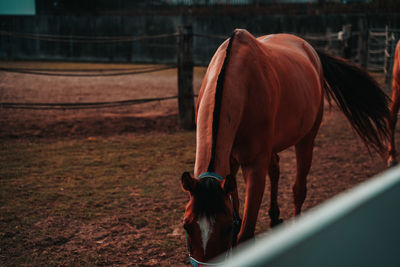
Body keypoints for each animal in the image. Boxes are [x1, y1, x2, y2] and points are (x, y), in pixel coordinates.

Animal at [180, 29, 390, 266]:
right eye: (186, 225)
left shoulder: (254, 166)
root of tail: (309, 49)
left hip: (306, 139)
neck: (241, 83)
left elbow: (245, 232)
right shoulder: (230, 163)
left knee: (298, 190)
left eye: (225, 228)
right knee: (275, 169)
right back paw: (274, 215)